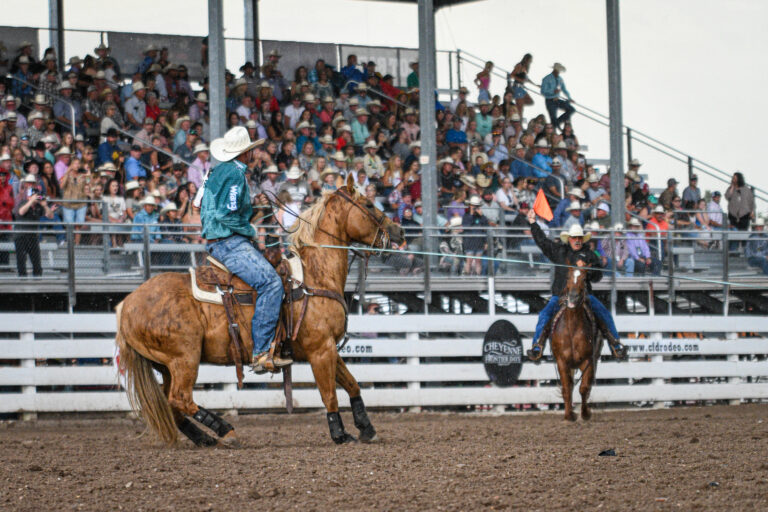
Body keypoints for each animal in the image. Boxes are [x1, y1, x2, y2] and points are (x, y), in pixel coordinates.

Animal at [117, 177, 404, 448]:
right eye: (369, 204)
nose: (399, 230)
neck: (315, 276)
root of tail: (127, 304)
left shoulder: (330, 347)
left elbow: (352, 383)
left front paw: (367, 428)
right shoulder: (320, 349)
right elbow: (329, 394)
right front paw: (340, 434)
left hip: (165, 365)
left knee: (172, 405)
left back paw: (205, 439)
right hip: (184, 358)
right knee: (180, 398)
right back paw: (226, 430)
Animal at [548, 264, 604, 420]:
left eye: (584, 279)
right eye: (568, 277)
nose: (573, 297)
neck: (572, 329)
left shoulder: (588, 360)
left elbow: (584, 387)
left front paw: (585, 413)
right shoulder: (562, 361)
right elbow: (567, 388)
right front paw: (569, 415)